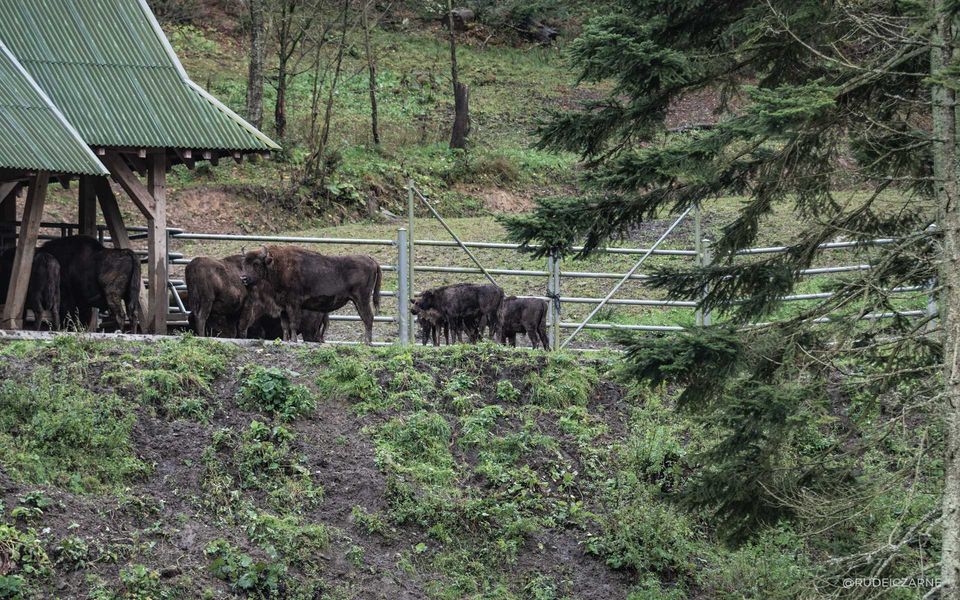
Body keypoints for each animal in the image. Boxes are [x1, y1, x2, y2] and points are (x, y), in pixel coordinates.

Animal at [240, 246, 382, 344]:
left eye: (256, 263)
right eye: (244, 263)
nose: (243, 278)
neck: (278, 265)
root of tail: (371, 260)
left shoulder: (294, 304)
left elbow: (293, 324)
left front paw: (293, 341)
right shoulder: (283, 308)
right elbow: (285, 326)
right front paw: (286, 341)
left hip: (362, 299)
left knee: (368, 318)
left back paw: (367, 343)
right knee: (367, 318)